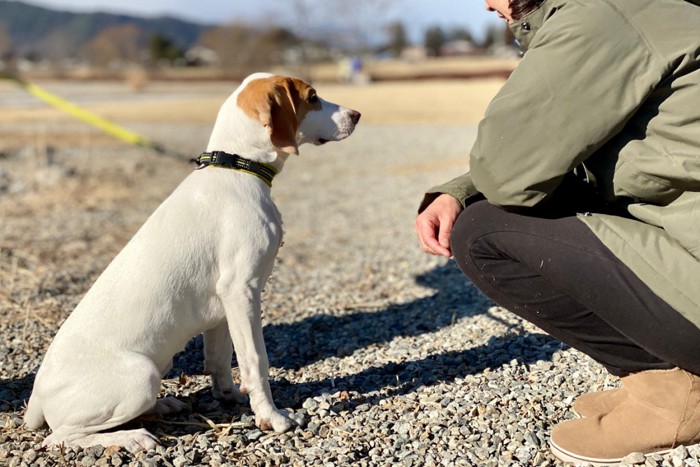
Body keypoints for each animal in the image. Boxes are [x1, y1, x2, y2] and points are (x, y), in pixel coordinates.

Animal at [23, 74, 360, 454]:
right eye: (313, 97)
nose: (357, 114)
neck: (236, 166)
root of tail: (36, 397)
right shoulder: (241, 290)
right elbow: (256, 361)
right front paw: (271, 417)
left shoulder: (223, 306)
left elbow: (221, 360)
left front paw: (233, 398)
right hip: (141, 376)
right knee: (61, 436)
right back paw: (132, 436)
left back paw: (162, 406)